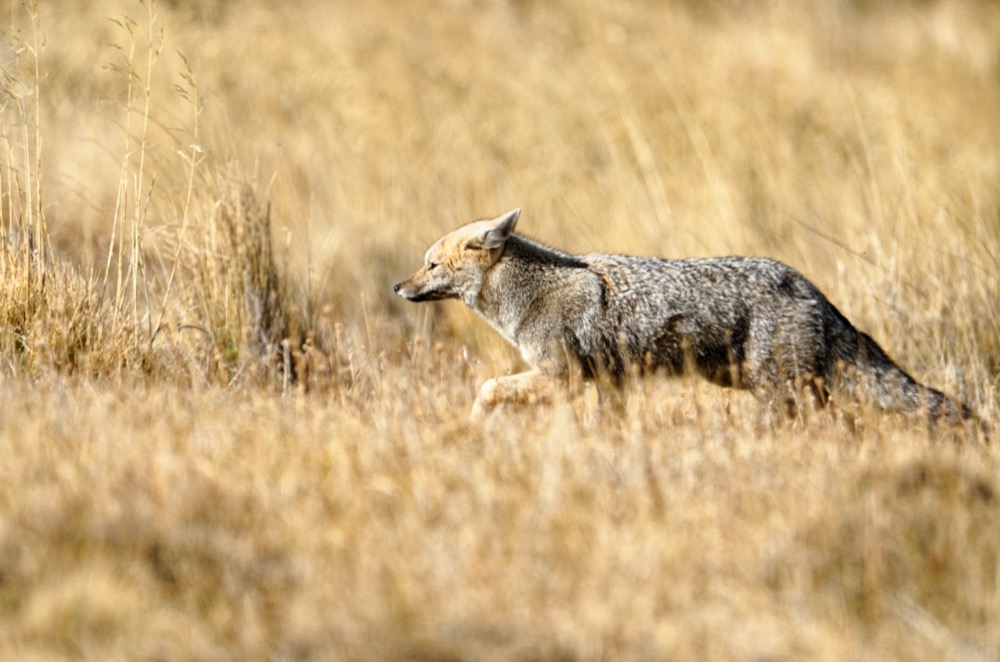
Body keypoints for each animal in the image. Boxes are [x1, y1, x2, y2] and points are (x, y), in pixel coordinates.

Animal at [394, 209, 980, 430]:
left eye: (430, 265)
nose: (397, 287)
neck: (533, 290)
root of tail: (813, 289)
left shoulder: (561, 378)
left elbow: (489, 386)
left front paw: (473, 421)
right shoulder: (610, 384)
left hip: (775, 391)